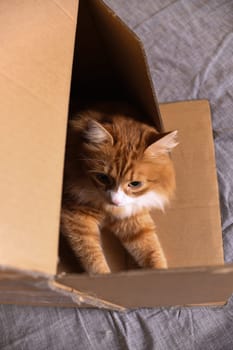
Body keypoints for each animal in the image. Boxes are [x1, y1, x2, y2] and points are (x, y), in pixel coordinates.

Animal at [61, 103, 177, 274]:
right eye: (103, 178)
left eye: (135, 184)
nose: (115, 201)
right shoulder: (76, 217)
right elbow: (92, 257)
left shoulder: (133, 217)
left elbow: (151, 250)